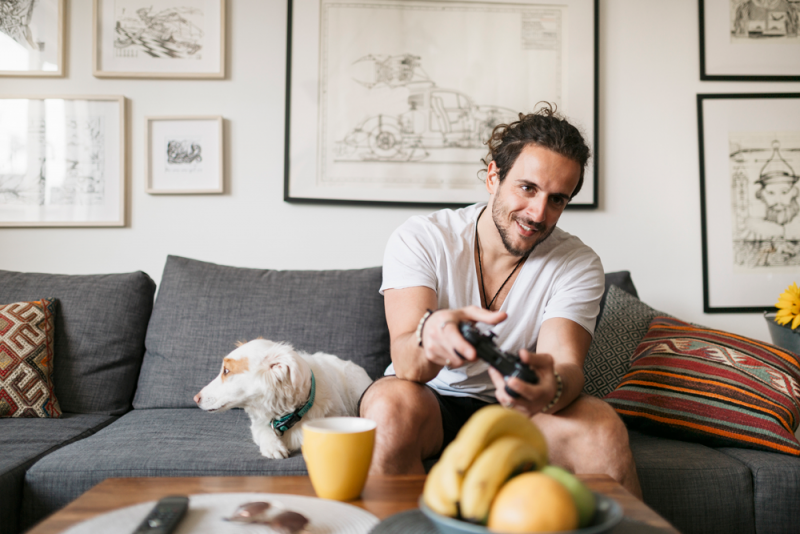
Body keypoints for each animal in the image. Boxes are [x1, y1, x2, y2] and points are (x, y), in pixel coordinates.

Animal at [194, 340, 372, 460]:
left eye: (226, 371)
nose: (195, 398)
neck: (289, 415)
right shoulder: (258, 425)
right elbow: (264, 432)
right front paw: (273, 446)